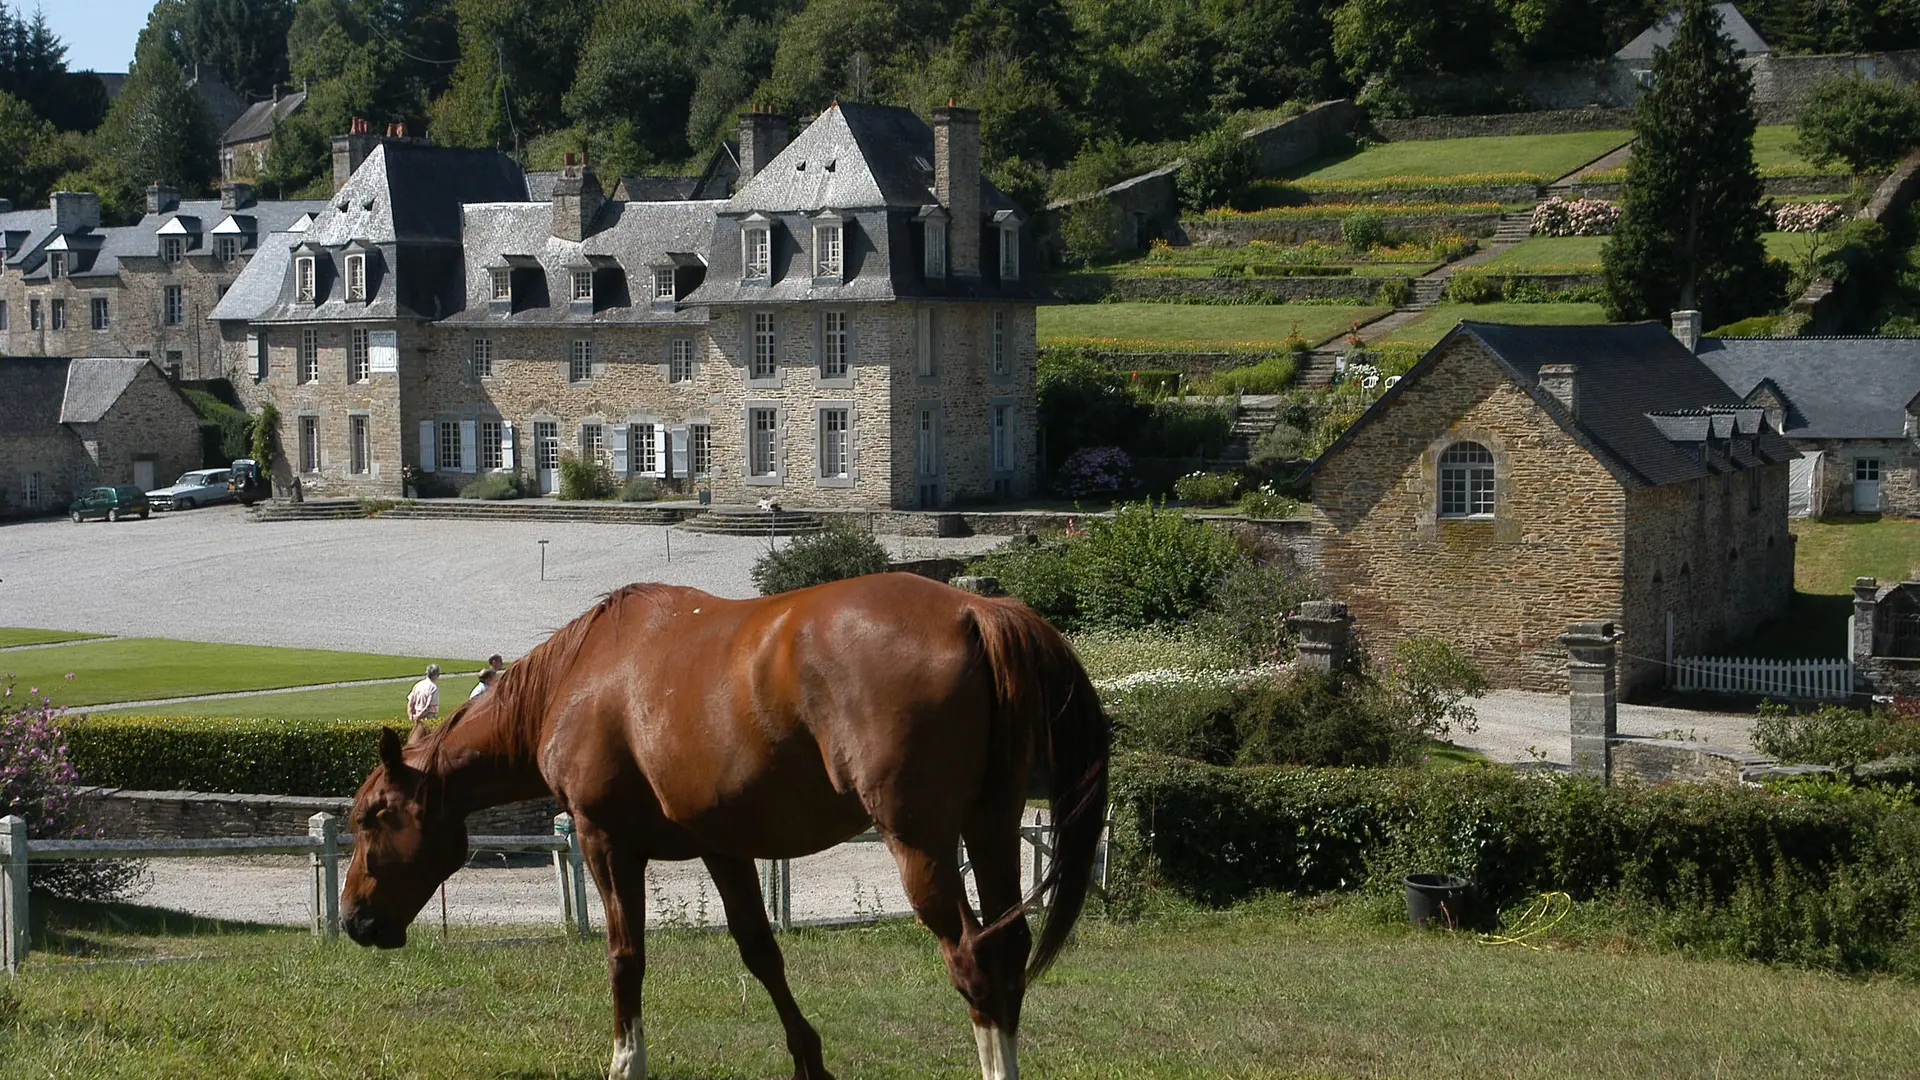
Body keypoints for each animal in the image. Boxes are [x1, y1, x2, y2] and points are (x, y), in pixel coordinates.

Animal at [345, 572, 1113, 1076]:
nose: (354, 918)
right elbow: (761, 952)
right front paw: (809, 1062)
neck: (581, 678)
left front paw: (627, 1062)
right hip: (991, 829)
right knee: (1008, 956)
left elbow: (625, 959)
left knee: (975, 965)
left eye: (374, 817)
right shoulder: (723, 848)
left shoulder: (604, 841)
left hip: (920, 845)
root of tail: (975, 610)